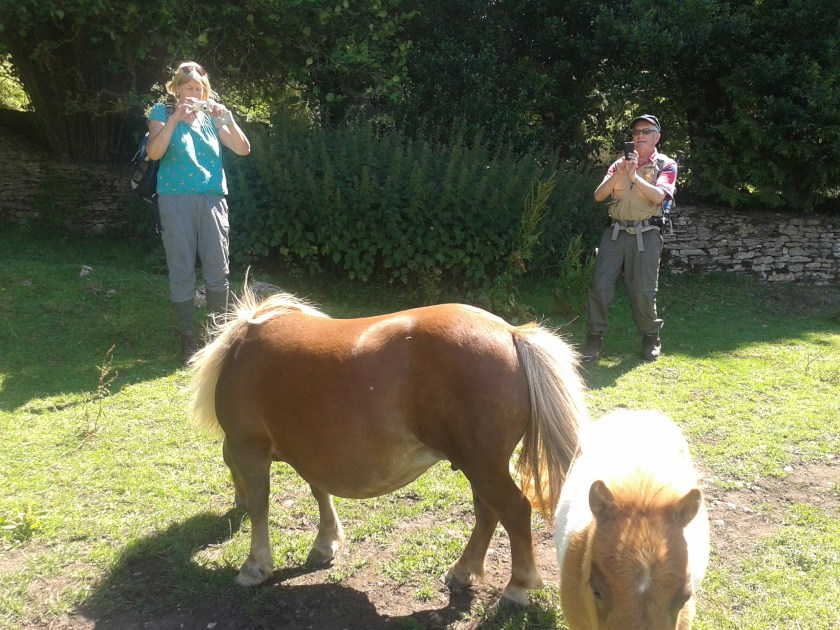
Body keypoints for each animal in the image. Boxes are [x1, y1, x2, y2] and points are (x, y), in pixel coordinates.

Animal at [189, 285, 589, 607]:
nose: (232, 510)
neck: (241, 350)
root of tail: (510, 333)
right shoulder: (310, 451)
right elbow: (320, 492)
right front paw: (326, 543)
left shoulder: (249, 448)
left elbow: (261, 505)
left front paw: (256, 566)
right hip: (479, 466)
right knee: (488, 514)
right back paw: (463, 571)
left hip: (483, 465)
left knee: (515, 511)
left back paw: (517, 588)